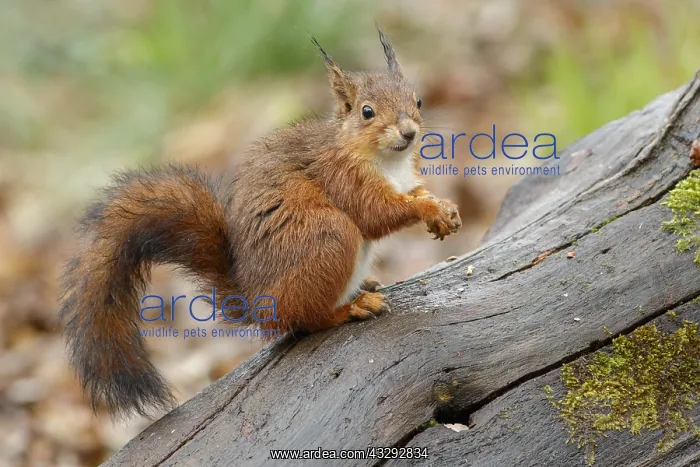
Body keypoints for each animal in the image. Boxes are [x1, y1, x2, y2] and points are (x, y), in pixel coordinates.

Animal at [58, 27, 462, 418]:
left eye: (418, 101)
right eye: (366, 112)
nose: (409, 132)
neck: (386, 161)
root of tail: (255, 301)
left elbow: (413, 193)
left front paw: (444, 208)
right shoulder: (342, 177)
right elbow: (376, 214)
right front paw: (430, 211)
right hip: (328, 238)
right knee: (308, 319)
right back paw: (351, 308)